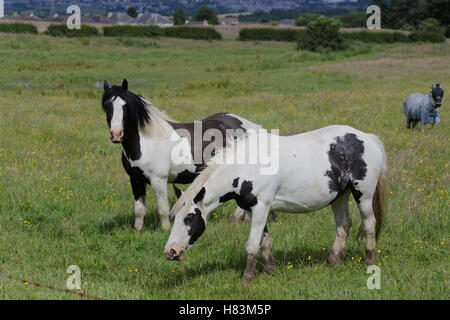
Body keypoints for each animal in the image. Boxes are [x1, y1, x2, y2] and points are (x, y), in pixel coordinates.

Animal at [101, 79, 260, 231]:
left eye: (125, 106)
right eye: (106, 105)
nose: (116, 134)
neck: (146, 142)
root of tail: (249, 126)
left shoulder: (158, 180)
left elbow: (163, 209)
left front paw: (165, 230)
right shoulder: (135, 180)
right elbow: (139, 210)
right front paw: (137, 230)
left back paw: (238, 218)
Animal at [165, 125, 386, 284]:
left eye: (189, 218)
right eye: (175, 218)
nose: (170, 252)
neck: (248, 165)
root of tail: (368, 138)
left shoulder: (261, 207)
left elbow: (252, 244)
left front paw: (248, 278)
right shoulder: (253, 209)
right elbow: (265, 241)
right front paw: (270, 270)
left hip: (363, 195)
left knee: (369, 224)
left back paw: (370, 261)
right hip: (339, 197)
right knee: (343, 225)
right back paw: (333, 262)